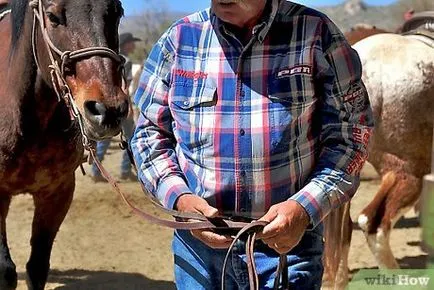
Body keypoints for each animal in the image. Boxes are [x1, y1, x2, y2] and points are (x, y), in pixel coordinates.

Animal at [0, 0, 128, 290]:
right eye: (52, 16)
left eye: (117, 12)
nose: (107, 110)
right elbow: (6, 271)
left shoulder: (58, 192)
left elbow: (37, 268)